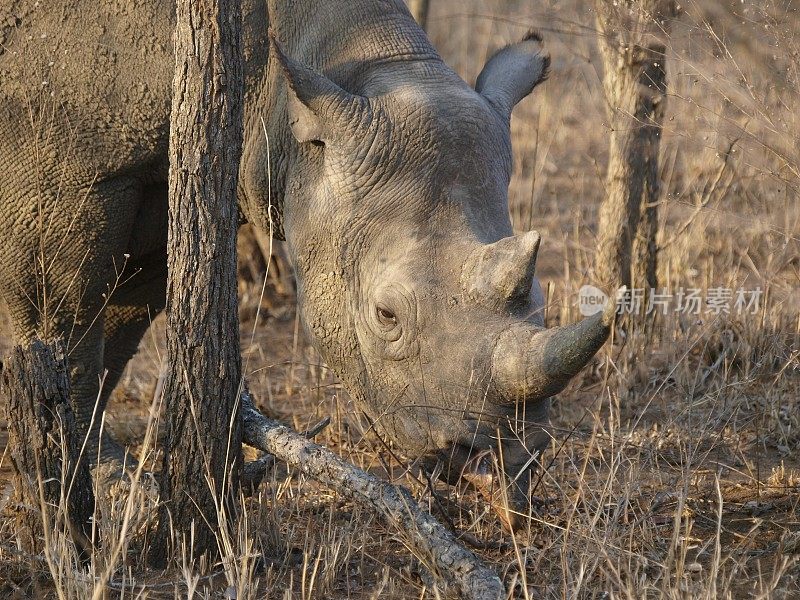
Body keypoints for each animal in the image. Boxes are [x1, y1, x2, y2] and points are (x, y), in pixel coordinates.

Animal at [0, 0, 612, 524]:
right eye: (386, 315)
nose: (502, 463)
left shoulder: (165, 178)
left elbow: (120, 326)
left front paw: (102, 471)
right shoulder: (73, 171)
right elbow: (69, 330)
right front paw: (82, 479)